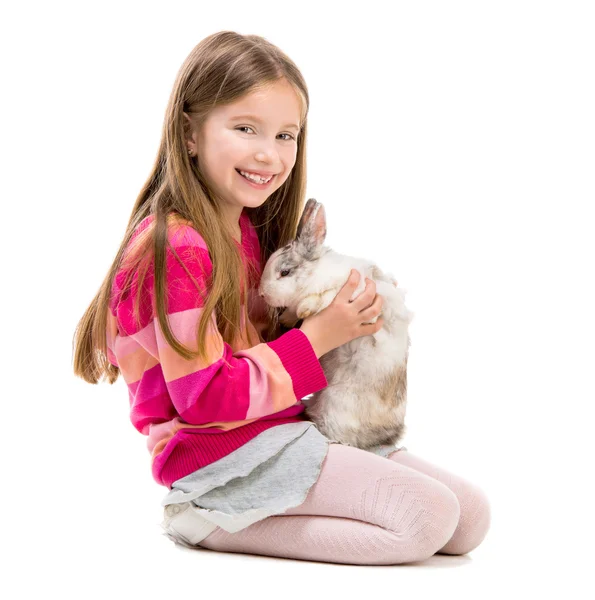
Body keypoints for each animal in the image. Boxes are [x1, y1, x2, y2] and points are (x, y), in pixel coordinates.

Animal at [258, 199, 416, 452]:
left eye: (285, 272)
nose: (262, 294)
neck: (318, 273)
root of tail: (389, 435)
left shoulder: (354, 291)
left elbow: (324, 297)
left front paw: (305, 309)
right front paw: (288, 318)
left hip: (336, 406)